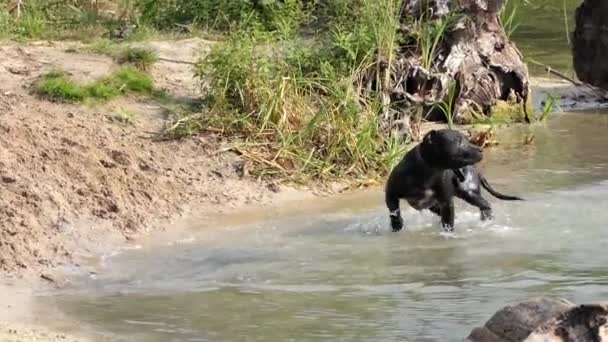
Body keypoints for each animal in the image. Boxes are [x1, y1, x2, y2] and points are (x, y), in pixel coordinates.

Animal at [384, 129, 524, 232]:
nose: (480, 149)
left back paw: (487, 221)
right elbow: (394, 211)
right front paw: (397, 225)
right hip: (436, 205)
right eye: (459, 141)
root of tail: (476, 170)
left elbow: (448, 223)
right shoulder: (391, 195)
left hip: (469, 192)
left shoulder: (447, 203)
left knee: (485, 205)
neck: (430, 170)